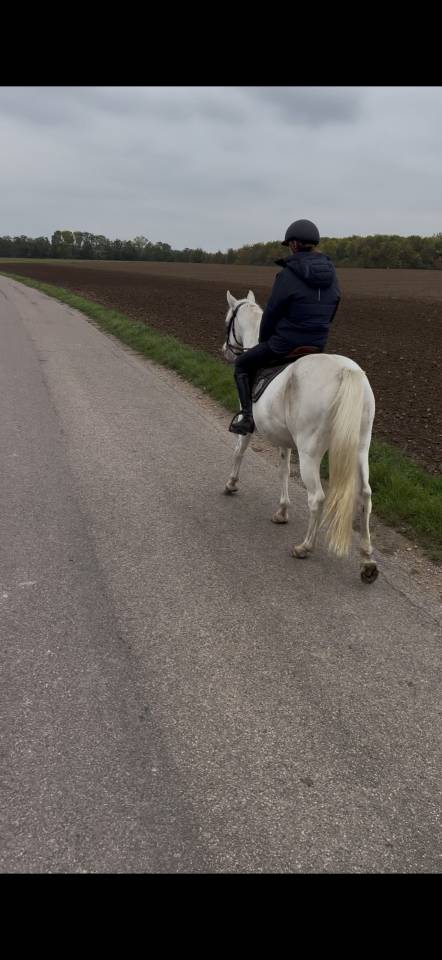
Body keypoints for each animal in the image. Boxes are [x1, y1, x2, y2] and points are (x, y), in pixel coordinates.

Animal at [222, 290, 378, 584]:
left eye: (228, 320)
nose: (225, 351)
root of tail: (346, 371)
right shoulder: (284, 439)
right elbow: (283, 470)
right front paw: (282, 511)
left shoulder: (250, 426)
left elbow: (239, 451)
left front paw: (231, 484)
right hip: (361, 447)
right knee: (364, 495)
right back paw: (367, 562)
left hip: (310, 452)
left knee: (317, 498)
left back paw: (305, 547)